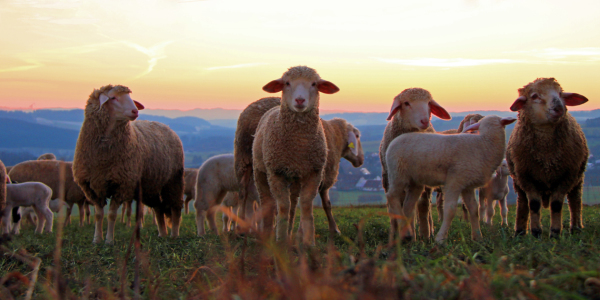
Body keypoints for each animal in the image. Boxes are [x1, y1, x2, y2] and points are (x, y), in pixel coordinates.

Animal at [71, 84, 183, 244]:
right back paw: (162, 233)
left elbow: (111, 214)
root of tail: (166, 126)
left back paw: (174, 234)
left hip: (173, 180)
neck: (103, 159)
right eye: (113, 98)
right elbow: (98, 215)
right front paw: (97, 239)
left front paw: (109, 241)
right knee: (158, 207)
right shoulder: (92, 186)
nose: (135, 111)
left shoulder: (121, 184)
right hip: (150, 185)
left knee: (175, 207)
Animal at [251, 65, 340, 244]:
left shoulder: (314, 172)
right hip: (260, 171)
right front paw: (280, 241)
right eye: (287, 83)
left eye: (314, 84)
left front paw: (309, 242)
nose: (300, 100)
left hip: (295, 177)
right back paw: (268, 234)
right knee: (267, 202)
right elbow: (282, 206)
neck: (299, 144)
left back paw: (290, 232)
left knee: (293, 204)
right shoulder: (276, 172)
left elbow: (305, 206)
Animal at [380, 86, 450, 239]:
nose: (424, 121)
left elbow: (414, 207)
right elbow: (397, 206)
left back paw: (426, 233)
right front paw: (399, 232)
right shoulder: (392, 177)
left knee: (424, 206)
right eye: (406, 103)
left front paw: (415, 233)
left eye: (429, 103)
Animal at [384, 115, 516, 244]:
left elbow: (474, 209)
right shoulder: (455, 180)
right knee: (391, 196)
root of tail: (393, 142)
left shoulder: (467, 184)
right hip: (398, 173)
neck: (485, 144)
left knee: (408, 205)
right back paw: (404, 232)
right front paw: (440, 239)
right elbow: (450, 209)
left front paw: (478, 237)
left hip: (415, 181)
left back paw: (409, 235)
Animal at [504, 78, 588, 238]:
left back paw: (576, 228)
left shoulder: (566, 176)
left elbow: (556, 205)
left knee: (575, 200)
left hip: (578, 177)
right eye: (534, 96)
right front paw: (536, 233)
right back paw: (519, 232)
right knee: (522, 202)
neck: (547, 155)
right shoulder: (526, 177)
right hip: (518, 181)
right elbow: (534, 204)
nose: (559, 108)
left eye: (560, 93)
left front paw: (555, 233)